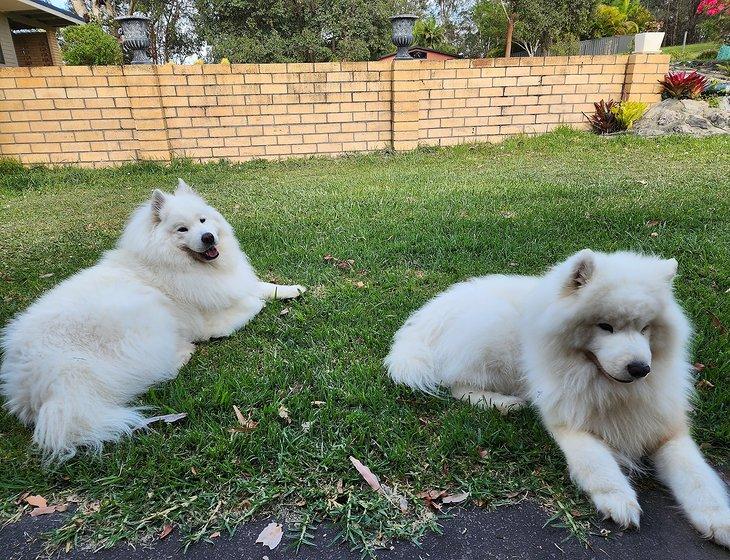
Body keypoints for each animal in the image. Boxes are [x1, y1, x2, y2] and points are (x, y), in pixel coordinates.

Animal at [0, 179, 302, 460]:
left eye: (203, 220)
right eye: (182, 230)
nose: (208, 237)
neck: (177, 265)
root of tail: (37, 379)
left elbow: (259, 286)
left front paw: (292, 289)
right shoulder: (209, 319)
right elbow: (251, 303)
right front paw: (260, 302)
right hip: (145, 318)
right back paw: (183, 353)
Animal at [384, 250, 724, 548]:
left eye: (645, 328)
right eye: (605, 326)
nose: (640, 368)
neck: (611, 390)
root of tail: (427, 315)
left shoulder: (667, 430)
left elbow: (698, 476)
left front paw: (717, 519)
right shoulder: (569, 423)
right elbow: (596, 463)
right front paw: (618, 499)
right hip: (491, 337)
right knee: (459, 385)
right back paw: (505, 403)